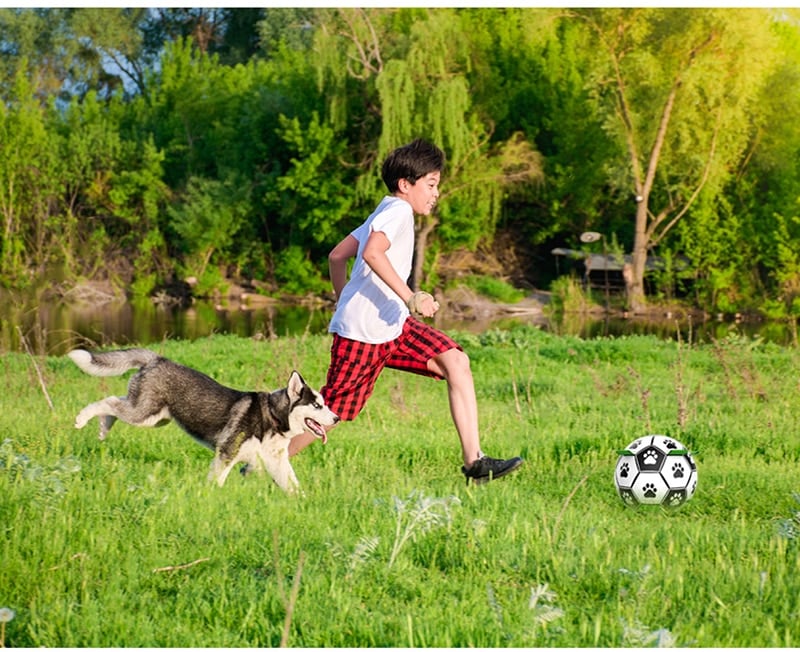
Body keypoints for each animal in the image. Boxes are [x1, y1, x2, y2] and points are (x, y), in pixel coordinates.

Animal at [69, 348, 340, 492]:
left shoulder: (277, 463)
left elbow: (294, 487)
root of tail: (157, 358)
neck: (272, 416)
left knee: (114, 404)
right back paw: (82, 419)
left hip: (154, 417)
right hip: (143, 413)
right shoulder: (227, 453)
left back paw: (103, 428)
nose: (337, 418)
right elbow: (216, 482)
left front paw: (305, 505)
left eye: (325, 404)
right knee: (108, 402)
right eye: (317, 405)